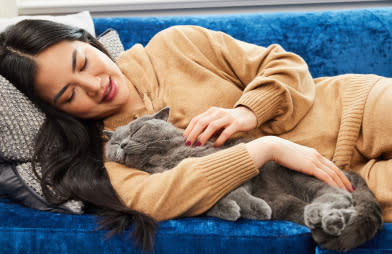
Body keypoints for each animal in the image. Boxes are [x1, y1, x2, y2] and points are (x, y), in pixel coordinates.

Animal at [103, 106, 382, 251]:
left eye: (137, 130)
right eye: (114, 142)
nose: (122, 145)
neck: (162, 159)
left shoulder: (222, 157)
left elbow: (234, 188)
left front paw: (248, 207)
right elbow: (208, 201)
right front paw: (229, 210)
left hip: (301, 176)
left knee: (339, 195)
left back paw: (323, 217)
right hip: (287, 205)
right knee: (344, 206)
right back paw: (329, 221)